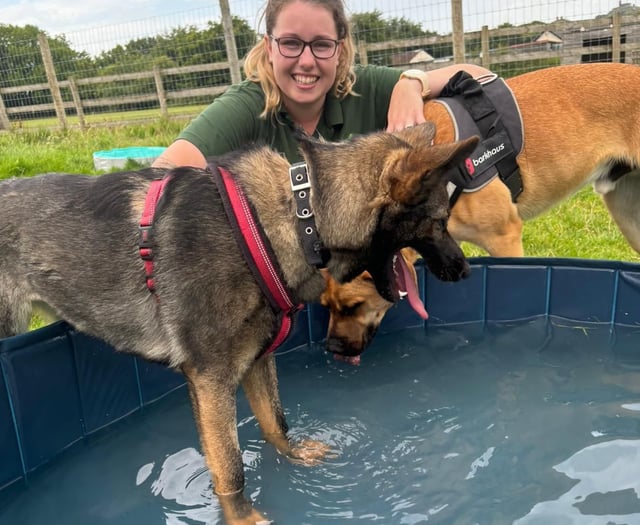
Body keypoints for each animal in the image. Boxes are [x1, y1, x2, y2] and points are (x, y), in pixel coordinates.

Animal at [0, 124, 476, 524]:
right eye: (440, 221)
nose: (465, 270)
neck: (297, 217)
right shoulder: (211, 381)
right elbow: (230, 469)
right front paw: (243, 517)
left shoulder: (257, 360)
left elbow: (275, 423)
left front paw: (294, 457)